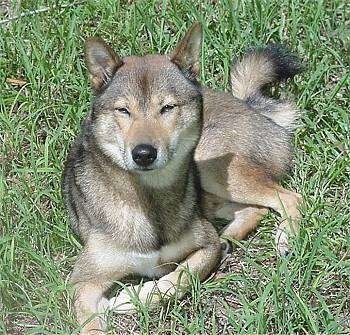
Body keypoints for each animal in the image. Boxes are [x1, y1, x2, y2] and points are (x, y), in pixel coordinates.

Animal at [63, 22, 304, 334]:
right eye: (123, 110)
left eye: (167, 108)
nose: (143, 154)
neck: (149, 200)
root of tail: (252, 107)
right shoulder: (83, 280)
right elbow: (90, 322)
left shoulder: (205, 247)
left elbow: (180, 278)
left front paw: (130, 299)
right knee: (255, 208)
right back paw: (230, 237)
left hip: (212, 167)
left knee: (288, 197)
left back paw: (285, 236)